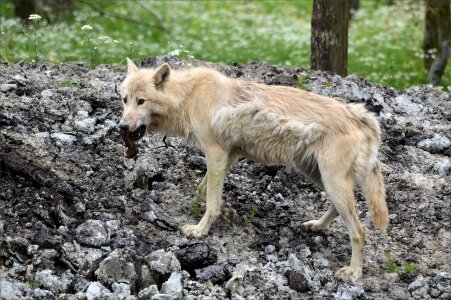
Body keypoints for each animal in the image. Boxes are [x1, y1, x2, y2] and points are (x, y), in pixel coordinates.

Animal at [119, 58, 388, 282]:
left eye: (141, 101)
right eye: (125, 99)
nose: (121, 126)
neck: (188, 96)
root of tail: (359, 115)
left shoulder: (216, 153)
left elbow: (210, 201)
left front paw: (200, 230)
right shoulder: (229, 155)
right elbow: (203, 190)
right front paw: (226, 211)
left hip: (332, 182)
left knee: (360, 231)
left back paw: (353, 273)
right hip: (320, 177)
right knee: (338, 211)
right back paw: (317, 226)